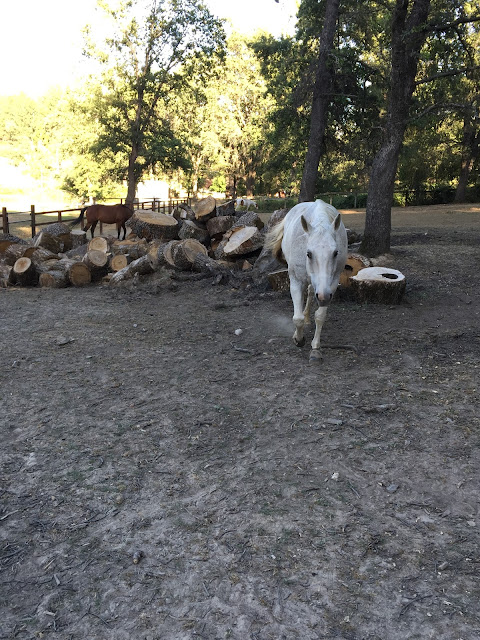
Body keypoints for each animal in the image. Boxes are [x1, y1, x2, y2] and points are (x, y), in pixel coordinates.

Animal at [264, 199, 348, 362]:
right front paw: (298, 339)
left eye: (335, 253)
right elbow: (297, 318)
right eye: (308, 253)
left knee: (310, 293)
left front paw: (315, 347)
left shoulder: (331, 285)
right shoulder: (296, 281)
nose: (323, 296)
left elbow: (320, 316)